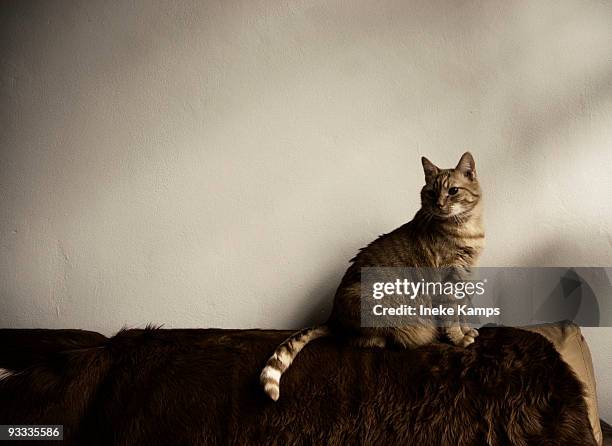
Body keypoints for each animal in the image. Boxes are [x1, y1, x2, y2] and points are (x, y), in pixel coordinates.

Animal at [260, 152, 486, 400]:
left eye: (452, 191)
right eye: (431, 193)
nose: (439, 204)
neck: (467, 229)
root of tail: (332, 317)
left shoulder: (464, 280)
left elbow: (462, 313)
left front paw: (466, 331)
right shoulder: (448, 283)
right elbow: (451, 318)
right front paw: (459, 340)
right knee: (355, 339)